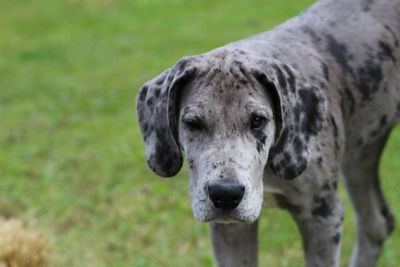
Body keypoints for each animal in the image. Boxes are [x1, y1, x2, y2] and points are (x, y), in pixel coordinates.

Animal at [135, 0, 400, 266]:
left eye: (257, 121)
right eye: (193, 123)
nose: (226, 194)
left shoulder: (322, 215)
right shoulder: (230, 228)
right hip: (360, 155)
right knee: (377, 223)